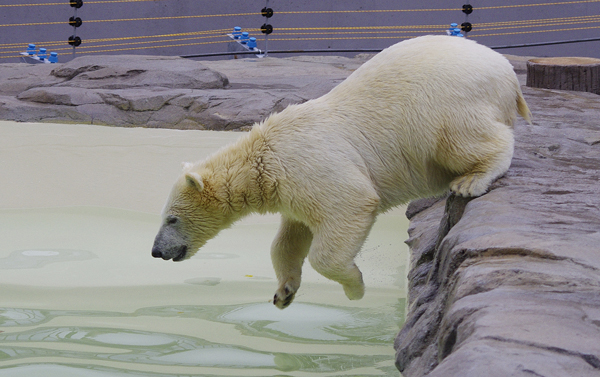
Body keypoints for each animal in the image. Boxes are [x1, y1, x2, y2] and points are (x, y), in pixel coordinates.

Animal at [152, 33, 532, 306]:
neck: (261, 155)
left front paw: (355, 288)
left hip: (446, 104)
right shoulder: (288, 187)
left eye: (171, 218)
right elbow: (288, 239)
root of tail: (508, 73)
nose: (156, 251)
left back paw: (471, 179)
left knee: (463, 138)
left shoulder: (309, 163)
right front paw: (283, 292)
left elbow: (348, 208)